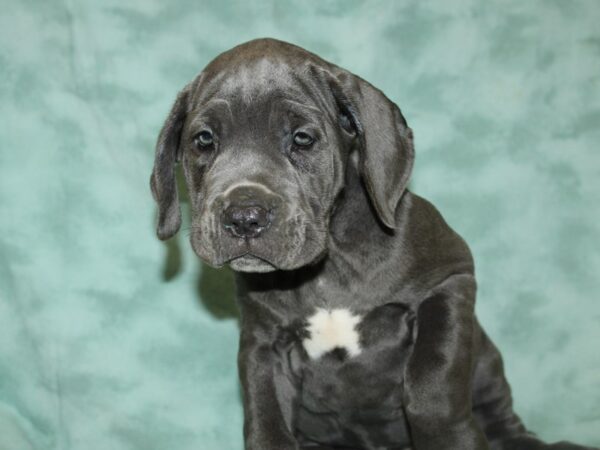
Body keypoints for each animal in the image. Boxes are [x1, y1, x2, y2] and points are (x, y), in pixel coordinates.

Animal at [151, 37, 596, 450]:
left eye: (303, 138)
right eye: (203, 140)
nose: (244, 217)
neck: (329, 265)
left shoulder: (451, 281)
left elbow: (432, 380)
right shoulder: (264, 343)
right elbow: (265, 416)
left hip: (487, 368)